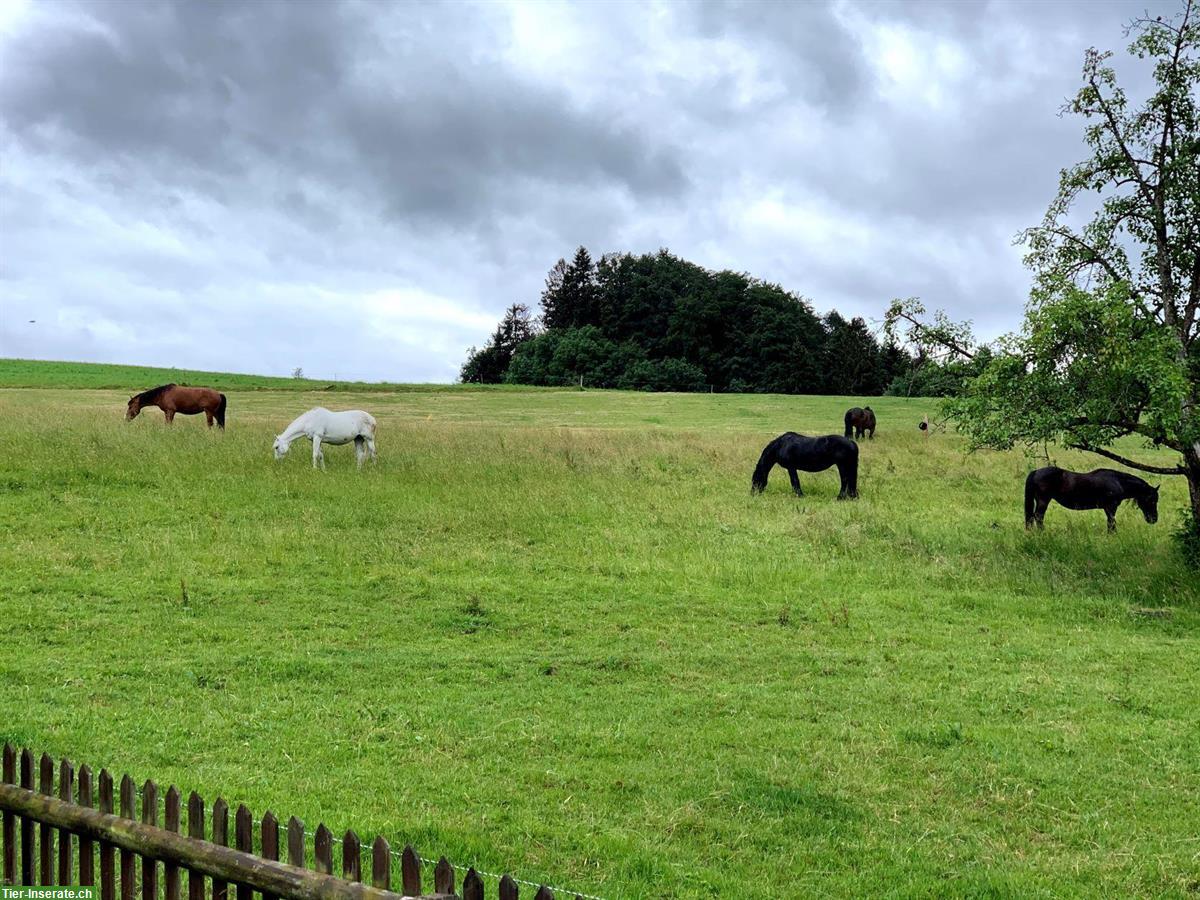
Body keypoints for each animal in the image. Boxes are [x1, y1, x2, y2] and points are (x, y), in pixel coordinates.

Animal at [1027, 468, 1156, 532]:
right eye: (1153, 500)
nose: (1154, 519)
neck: (1117, 481)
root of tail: (1036, 472)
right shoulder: (1111, 507)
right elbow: (1112, 522)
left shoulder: (1108, 508)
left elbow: (1110, 522)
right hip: (1043, 500)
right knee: (1038, 516)